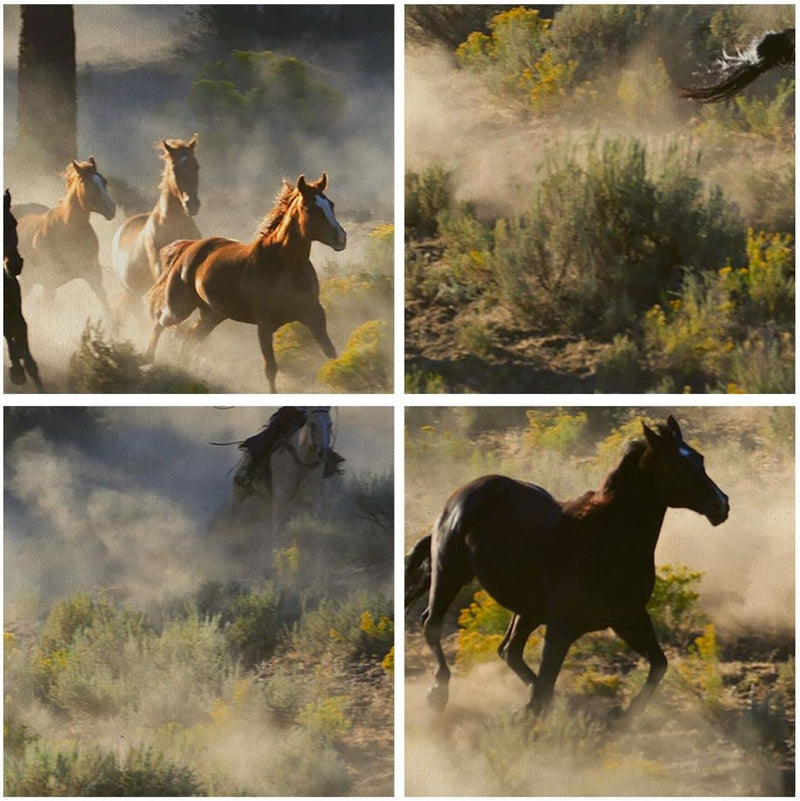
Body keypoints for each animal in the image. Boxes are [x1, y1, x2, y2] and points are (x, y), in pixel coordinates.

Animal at [14, 156, 115, 306]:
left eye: (104, 181)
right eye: (86, 183)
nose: (111, 208)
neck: (67, 230)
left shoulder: (93, 275)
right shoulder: (49, 283)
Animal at [145, 173, 346, 392]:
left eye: (331, 204)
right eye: (310, 208)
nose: (341, 238)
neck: (284, 265)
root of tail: (189, 247)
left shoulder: (315, 315)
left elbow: (331, 354)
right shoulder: (265, 323)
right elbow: (270, 368)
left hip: (212, 315)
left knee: (188, 339)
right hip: (179, 308)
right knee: (159, 323)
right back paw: (147, 360)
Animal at [410, 418, 728, 720]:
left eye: (699, 458)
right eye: (675, 466)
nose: (721, 504)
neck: (608, 538)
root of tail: (457, 498)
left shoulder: (629, 617)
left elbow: (659, 664)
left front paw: (624, 717)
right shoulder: (562, 628)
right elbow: (543, 688)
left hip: (527, 609)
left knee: (509, 651)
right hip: (450, 572)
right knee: (432, 624)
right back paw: (438, 693)